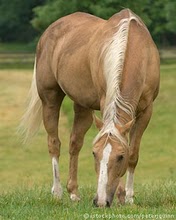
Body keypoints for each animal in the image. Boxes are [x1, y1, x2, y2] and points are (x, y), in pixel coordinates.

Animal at [20, 8, 160, 207]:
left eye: (120, 156)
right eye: (94, 154)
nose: (100, 201)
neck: (132, 48)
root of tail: (50, 30)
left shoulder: (147, 110)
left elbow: (133, 153)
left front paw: (129, 197)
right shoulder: (105, 102)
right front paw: (121, 195)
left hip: (82, 105)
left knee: (75, 143)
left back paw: (73, 193)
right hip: (50, 98)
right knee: (54, 143)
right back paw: (57, 192)